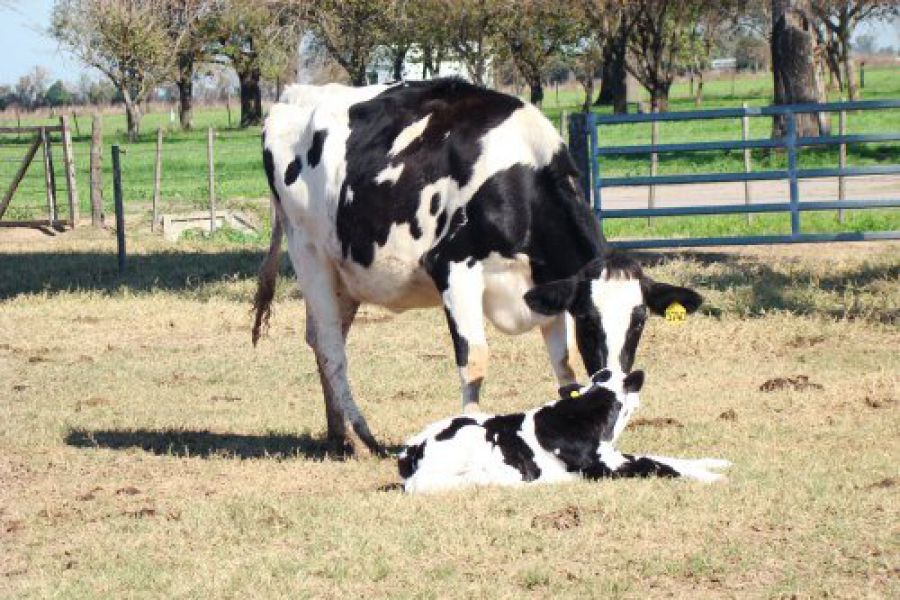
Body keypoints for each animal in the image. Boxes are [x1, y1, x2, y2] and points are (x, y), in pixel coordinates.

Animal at [253, 78, 704, 454]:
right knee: (331, 347)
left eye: (640, 321)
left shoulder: (548, 287)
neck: (519, 179)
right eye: (588, 321)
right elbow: (475, 359)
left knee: (320, 339)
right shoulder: (453, 268)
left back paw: (338, 434)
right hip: (309, 252)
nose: (613, 381)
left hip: (346, 273)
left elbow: (564, 366)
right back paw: (362, 437)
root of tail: (293, 95)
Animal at [400, 370, 732, 492]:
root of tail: (411, 448)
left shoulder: (613, 456)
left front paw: (717, 463)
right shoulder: (606, 466)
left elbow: (665, 458)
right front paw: (713, 478)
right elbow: (657, 465)